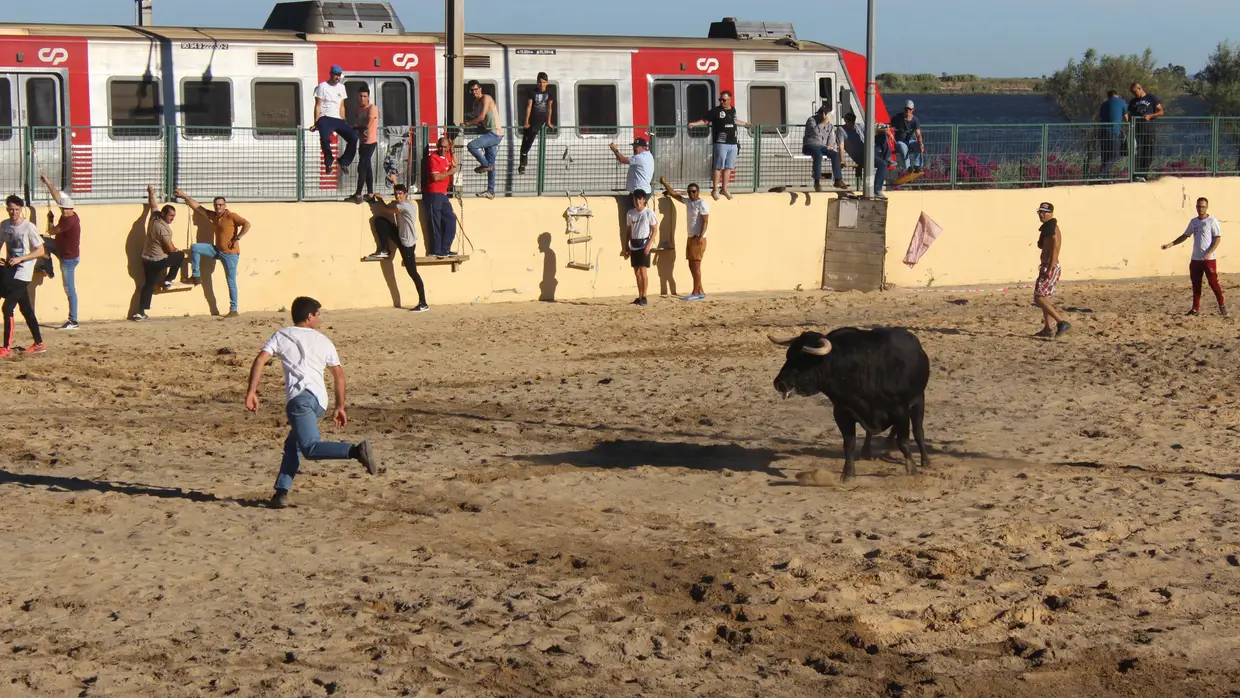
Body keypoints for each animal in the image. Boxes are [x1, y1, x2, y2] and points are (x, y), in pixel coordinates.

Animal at [768, 327, 927, 481]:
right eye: (788, 355)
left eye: (804, 359)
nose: (779, 384)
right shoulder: (842, 413)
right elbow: (849, 443)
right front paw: (848, 474)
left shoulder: (900, 410)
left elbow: (904, 441)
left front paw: (912, 469)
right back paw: (867, 451)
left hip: (919, 401)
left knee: (918, 431)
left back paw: (925, 460)